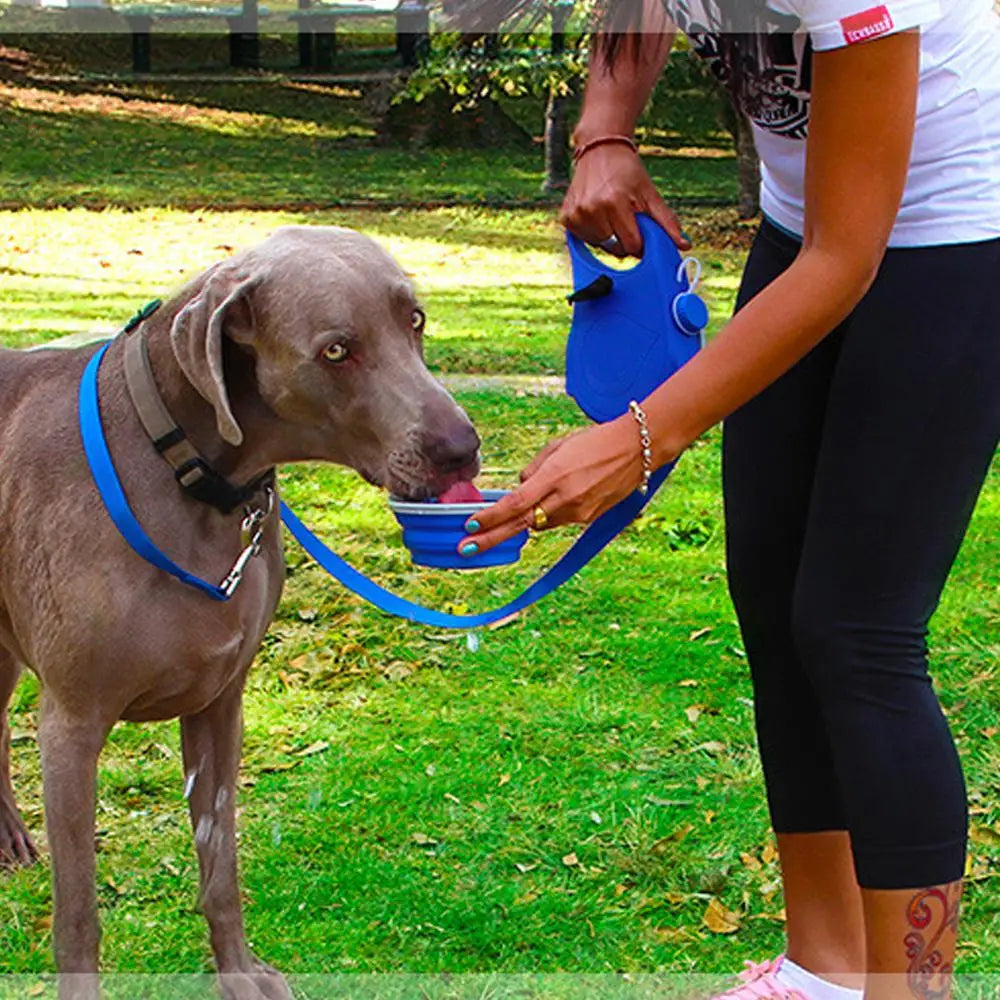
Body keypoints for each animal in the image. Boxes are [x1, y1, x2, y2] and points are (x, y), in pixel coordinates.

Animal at [0, 229, 480, 1000]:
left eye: (415, 320)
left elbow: (219, 865)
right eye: (336, 351)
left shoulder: (220, 701)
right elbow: (79, 915)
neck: (189, 472)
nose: (462, 447)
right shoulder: (71, 723)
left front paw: (241, 974)